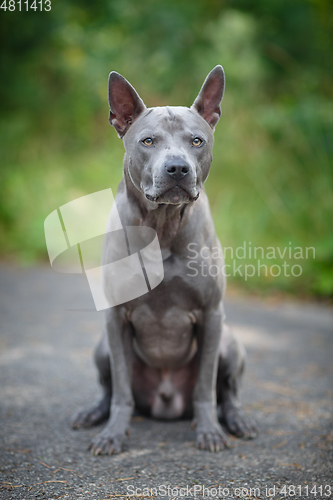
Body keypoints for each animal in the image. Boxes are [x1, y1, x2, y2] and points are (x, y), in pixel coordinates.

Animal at [71, 65, 255, 454]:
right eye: (148, 141)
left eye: (197, 141)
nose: (177, 168)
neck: (162, 226)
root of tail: (166, 402)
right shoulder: (115, 318)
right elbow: (121, 389)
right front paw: (113, 433)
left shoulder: (211, 315)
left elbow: (205, 386)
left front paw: (209, 431)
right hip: (102, 347)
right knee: (109, 388)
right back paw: (93, 413)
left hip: (230, 341)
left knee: (228, 392)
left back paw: (236, 420)